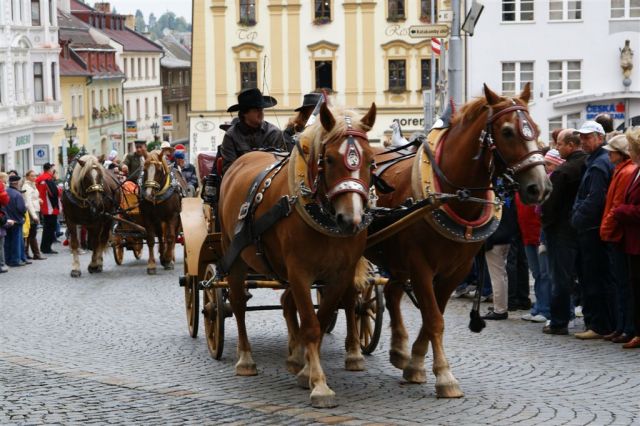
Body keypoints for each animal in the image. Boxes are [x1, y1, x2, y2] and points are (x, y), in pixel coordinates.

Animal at [220, 101, 378, 408]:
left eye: (370, 161)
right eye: (329, 159)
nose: (350, 220)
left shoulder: (340, 273)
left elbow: (321, 317)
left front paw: (305, 370)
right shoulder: (300, 272)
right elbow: (312, 325)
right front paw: (319, 385)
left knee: (286, 301)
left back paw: (294, 357)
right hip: (234, 256)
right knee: (238, 304)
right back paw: (245, 359)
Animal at [350, 83, 552, 396]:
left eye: (537, 128)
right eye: (507, 131)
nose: (539, 188)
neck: (453, 196)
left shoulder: (456, 269)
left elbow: (434, 316)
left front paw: (416, 364)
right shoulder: (421, 267)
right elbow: (433, 319)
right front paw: (445, 377)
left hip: (396, 260)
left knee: (392, 294)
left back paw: (398, 350)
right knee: (354, 298)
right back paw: (355, 352)